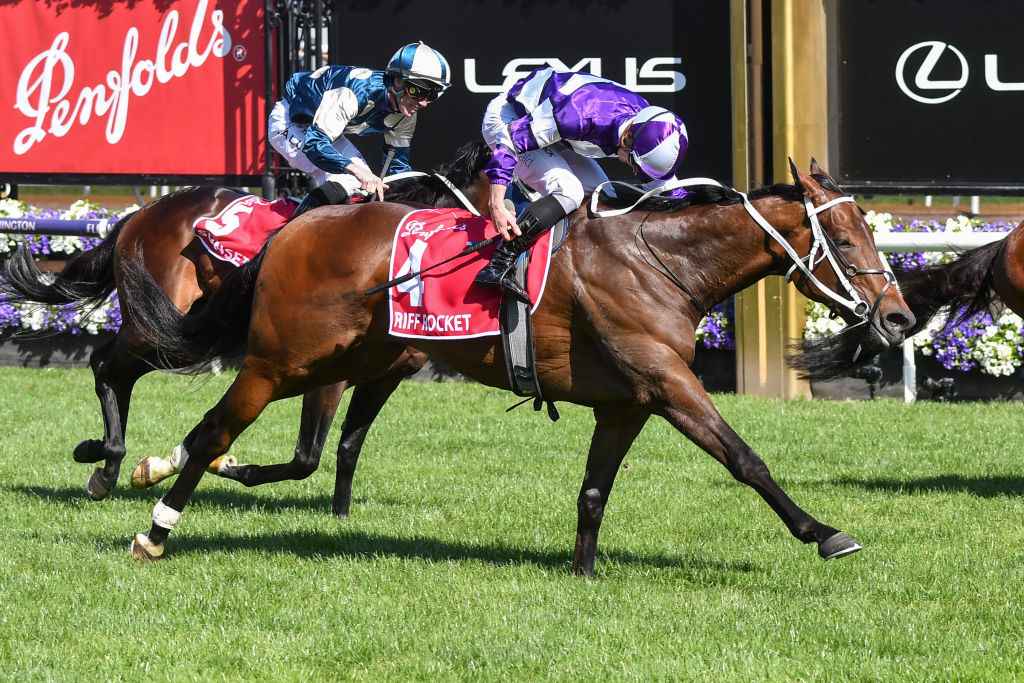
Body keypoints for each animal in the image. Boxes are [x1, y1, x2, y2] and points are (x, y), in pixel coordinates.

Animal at [0, 140, 495, 501]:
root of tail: (143, 213)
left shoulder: (386, 374)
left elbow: (347, 448)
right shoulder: (326, 373)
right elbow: (306, 456)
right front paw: (218, 465)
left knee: (115, 368)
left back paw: (106, 459)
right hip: (164, 326)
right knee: (106, 364)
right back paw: (105, 463)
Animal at [123, 158, 917, 573]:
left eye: (871, 231)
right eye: (848, 240)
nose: (899, 318)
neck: (662, 264)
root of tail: (294, 224)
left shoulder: (627, 402)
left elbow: (594, 490)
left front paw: (584, 569)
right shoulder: (670, 384)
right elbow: (746, 458)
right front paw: (824, 533)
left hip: (350, 357)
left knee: (237, 439)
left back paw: (155, 473)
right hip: (281, 359)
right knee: (216, 430)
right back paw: (155, 529)